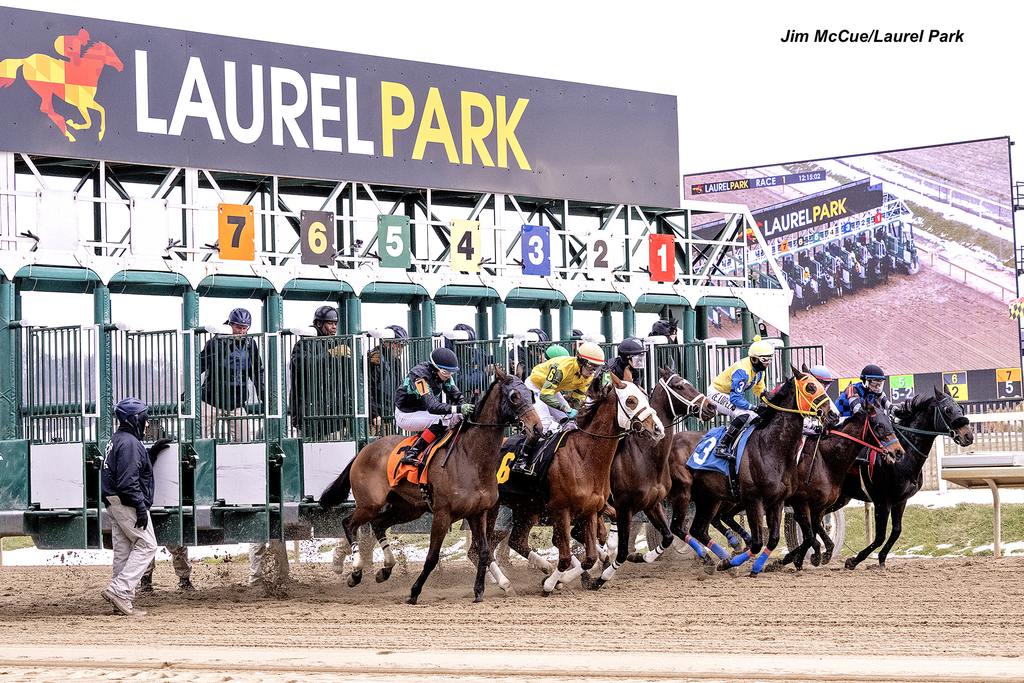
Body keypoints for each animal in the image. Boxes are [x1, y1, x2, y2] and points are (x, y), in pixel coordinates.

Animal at [319, 368, 544, 602]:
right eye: (514, 396)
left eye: (530, 394)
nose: (537, 428)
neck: (471, 458)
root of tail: (364, 450)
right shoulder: (442, 514)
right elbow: (432, 556)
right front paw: (414, 592)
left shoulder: (479, 512)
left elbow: (482, 552)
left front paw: (479, 591)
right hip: (370, 503)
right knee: (349, 524)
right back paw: (356, 571)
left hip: (408, 508)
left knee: (379, 523)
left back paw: (386, 569)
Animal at [495, 370, 663, 593]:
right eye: (631, 401)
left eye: (645, 395)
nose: (657, 429)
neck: (583, 457)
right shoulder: (562, 511)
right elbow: (567, 555)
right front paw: (553, 583)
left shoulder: (591, 510)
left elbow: (590, 555)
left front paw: (574, 577)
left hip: (526, 510)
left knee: (517, 541)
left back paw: (541, 569)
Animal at [684, 366, 835, 581]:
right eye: (811, 387)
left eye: (822, 386)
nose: (833, 415)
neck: (770, 447)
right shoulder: (754, 500)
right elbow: (756, 543)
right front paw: (731, 563)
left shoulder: (777, 501)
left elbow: (773, 539)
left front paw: (755, 567)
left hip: (709, 498)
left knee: (698, 529)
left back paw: (715, 559)